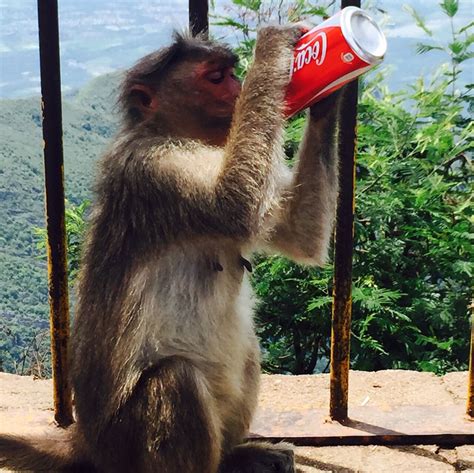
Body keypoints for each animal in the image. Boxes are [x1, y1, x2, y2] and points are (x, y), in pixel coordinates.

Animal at [0, 25, 342, 472]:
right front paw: (274, 48)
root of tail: (87, 442)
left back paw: (237, 456)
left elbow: (299, 235)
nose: (238, 91)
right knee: (176, 379)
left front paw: (331, 91)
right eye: (216, 78)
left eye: (230, 75)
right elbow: (233, 202)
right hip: (125, 443)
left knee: (247, 350)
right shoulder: (154, 169)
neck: (173, 133)